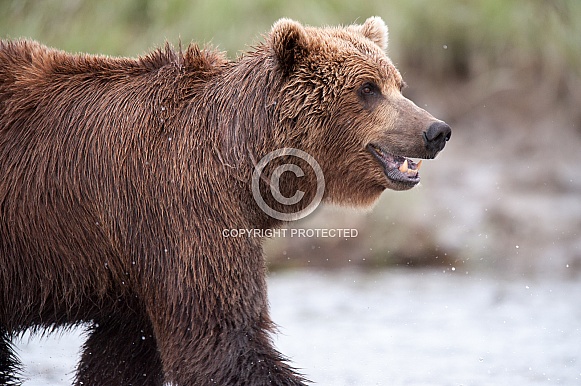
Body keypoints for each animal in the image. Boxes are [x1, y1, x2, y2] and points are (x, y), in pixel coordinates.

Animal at [0, 16, 450, 384]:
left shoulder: (133, 271)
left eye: (398, 85)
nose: (436, 130)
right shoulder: (180, 211)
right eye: (367, 88)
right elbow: (221, 340)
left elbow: (122, 354)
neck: (242, 167)